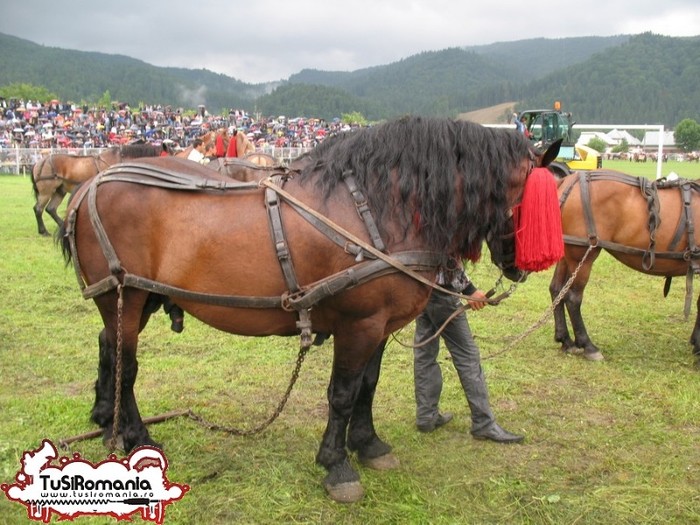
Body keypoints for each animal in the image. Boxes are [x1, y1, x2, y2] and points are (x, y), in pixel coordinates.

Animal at [31, 142, 160, 234]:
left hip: (60, 191)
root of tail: (40, 162)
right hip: (46, 191)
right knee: (38, 209)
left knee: (51, 209)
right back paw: (43, 231)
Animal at [61, 116, 564, 502]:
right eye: (544, 200)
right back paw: (136, 436)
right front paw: (336, 464)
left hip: (138, 298)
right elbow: (342, 393)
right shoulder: (359, 325)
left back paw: (105, 418)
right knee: (127, 364)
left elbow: (367, 387)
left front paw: (369, 444)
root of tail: (89, 185)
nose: (522, 267)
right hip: (123, 297)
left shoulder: (379, 326)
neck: (377, 209)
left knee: (108, 346)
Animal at [548, 170, 700, 362]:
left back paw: (565, 340)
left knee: (557, 290)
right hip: (583, 255)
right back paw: (588, 345)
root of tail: (570, 180)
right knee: (572, 298)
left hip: (568, 254)